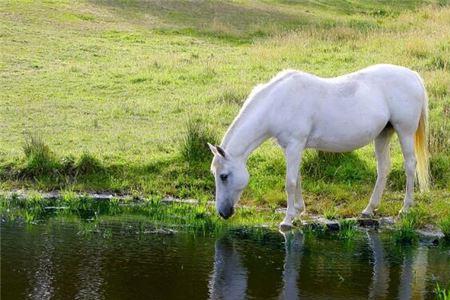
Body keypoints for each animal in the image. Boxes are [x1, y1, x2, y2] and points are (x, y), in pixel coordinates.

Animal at [209, 63, 430, 227]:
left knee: (410, 165)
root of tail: (413, 76)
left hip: (405, 132)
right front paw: (298, 211)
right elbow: (297, 179)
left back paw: (405, 208)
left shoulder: (295, 145)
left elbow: (290, 182)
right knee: (383, 168)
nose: (223, 213)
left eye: (224, 176)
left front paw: (287, 220)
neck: (279, 102)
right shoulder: (292, 148)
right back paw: (369, 210)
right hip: (383, 134)